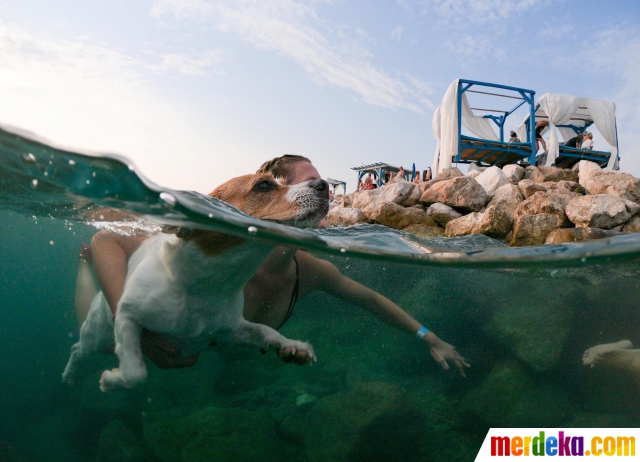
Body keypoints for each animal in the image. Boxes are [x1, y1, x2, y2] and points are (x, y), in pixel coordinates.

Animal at [62, 173, 330, 390]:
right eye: (263, 185)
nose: (324, 184)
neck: (208, 285)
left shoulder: (231, 331)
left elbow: (264, 330)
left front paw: (291, 344)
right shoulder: (128, 316)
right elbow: (136, 373)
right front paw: (110, 379)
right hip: (97, 335)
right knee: (77, 349)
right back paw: (70, 374)